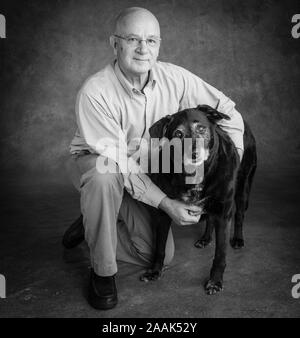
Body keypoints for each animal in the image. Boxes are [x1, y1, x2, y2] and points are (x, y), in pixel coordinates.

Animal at [139, 104, 256, 294]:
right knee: (210, 219)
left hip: (243, 188)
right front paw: (155, 271)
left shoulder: (224, 213)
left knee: (239, 215)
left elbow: (220, 254)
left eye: (201, 129)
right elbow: (159, 247)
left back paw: (238, 239)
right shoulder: (164, 211)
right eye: (178, 134)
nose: (194, 154)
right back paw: (205, 238)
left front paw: (215, 281)